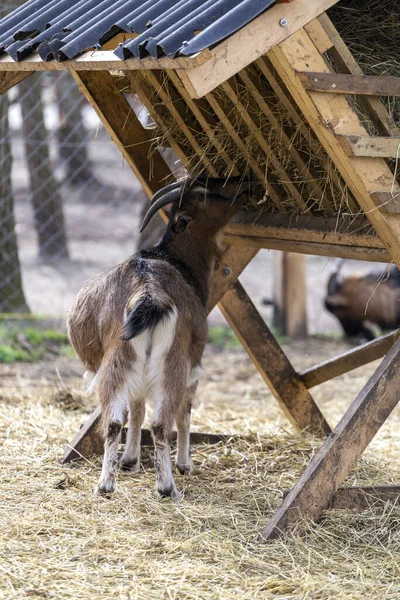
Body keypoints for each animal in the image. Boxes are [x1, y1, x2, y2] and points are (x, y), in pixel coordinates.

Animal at [67, 176, 252, 500]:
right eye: (202, 194)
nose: (243, 189)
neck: (175, 259)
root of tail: (147, 293)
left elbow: (137, 408)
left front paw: (130, 460)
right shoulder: (193, 365)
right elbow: (184, 412)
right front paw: (185, 464)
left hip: (120, 358)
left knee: (114, 421)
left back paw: (106, 484)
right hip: (172, 362)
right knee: (162, 421)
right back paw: (167, 487)